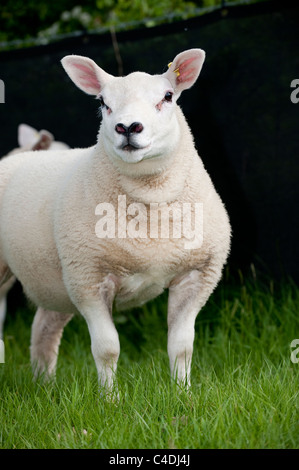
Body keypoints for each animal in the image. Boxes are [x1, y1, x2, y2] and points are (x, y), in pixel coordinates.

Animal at [0, 49, 231, 394]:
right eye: (103, 102)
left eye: (167, 96)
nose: (128, 127)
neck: (151, 206)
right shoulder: (88, 277)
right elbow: (107, 348)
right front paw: (111, 399)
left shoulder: (198, 275)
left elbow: (182, 346)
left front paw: (183, 394)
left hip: (56, 280)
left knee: (44, 329)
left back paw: (45, 387)